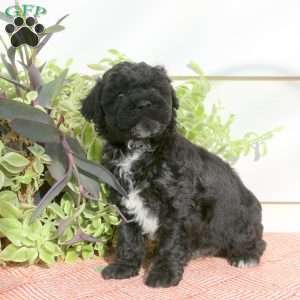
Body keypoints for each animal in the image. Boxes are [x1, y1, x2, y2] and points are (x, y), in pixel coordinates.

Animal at [81, 61, 266, 288]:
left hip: (240, 219)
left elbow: (171, 241)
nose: (144, 103)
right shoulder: (124, 203)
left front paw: (164, 274)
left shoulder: (176, 205)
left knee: (254, 240)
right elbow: (128, 237)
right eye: (120, 94)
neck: (139, 148)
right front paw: (124, 267)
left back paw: (245, 256)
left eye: (156, 89)